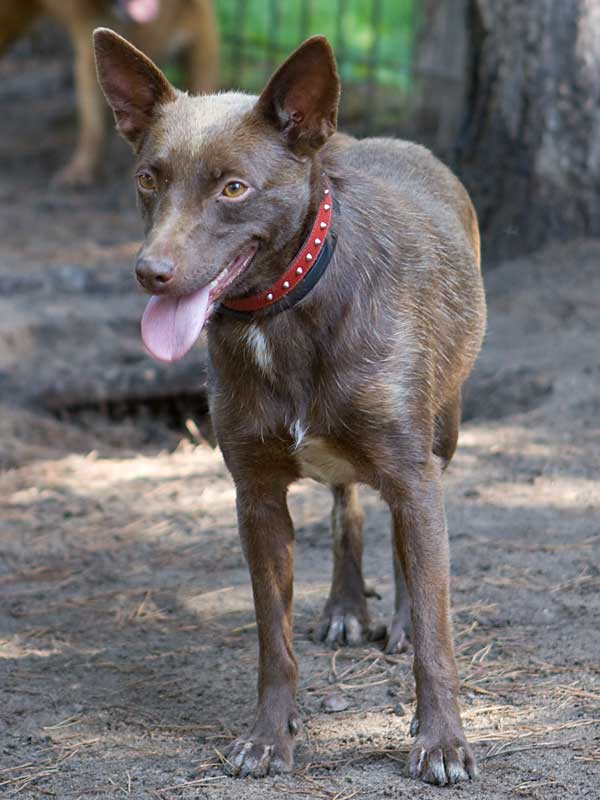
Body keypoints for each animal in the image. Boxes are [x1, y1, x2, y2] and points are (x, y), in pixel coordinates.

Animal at [93, 28, 487, 785]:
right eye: (149, 178)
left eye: (233, 188)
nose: (150, 273)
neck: (284, 311)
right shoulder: (256, 498)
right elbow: (272, 642)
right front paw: (269, 737)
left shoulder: (414, 475)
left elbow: (436, 631)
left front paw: (441, 740)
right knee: (346, 505)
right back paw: (344, 606)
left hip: (441, 435)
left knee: (406, 545)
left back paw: (393, 620)